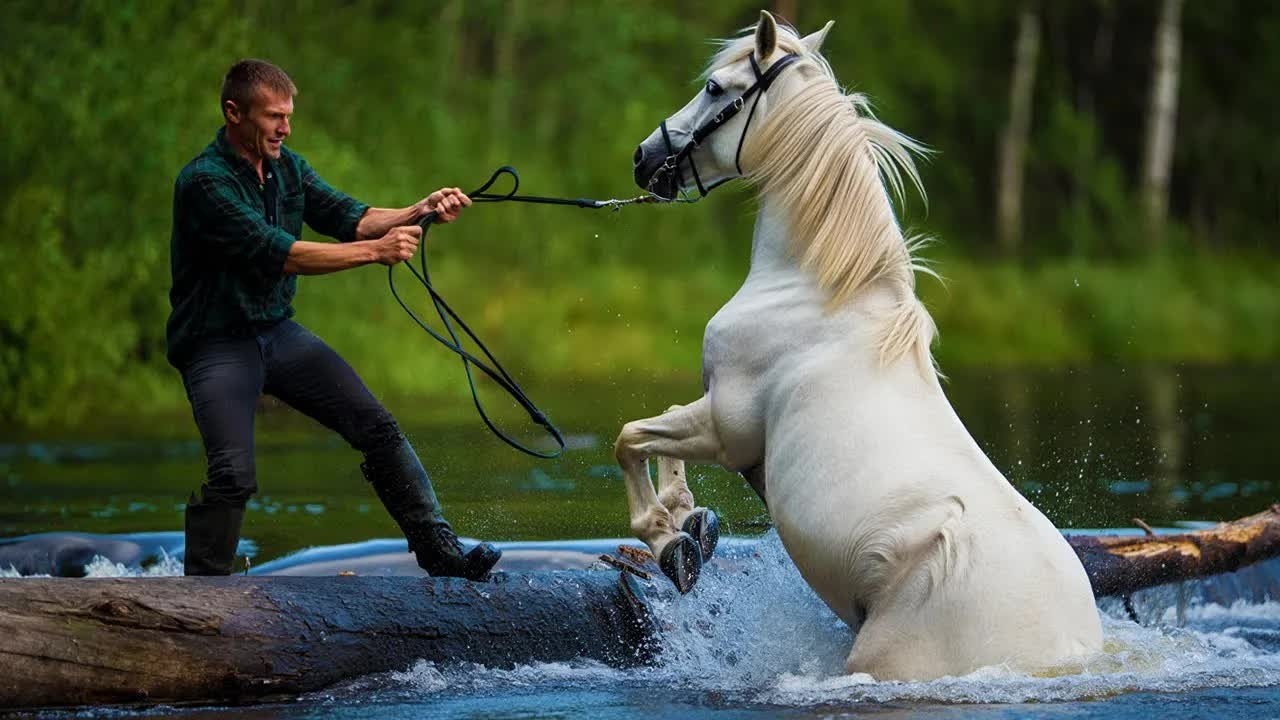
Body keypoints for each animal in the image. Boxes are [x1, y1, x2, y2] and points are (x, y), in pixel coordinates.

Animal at [614, 11, 1104, 681]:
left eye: (714, 88)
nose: (645, 158)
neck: (815, 290)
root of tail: (1062, 648)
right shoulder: (716, 419)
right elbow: (658, 428)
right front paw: (690, 521)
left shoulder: (727, 426)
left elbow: (631, 436)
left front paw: (670, 545)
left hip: (880, 656)